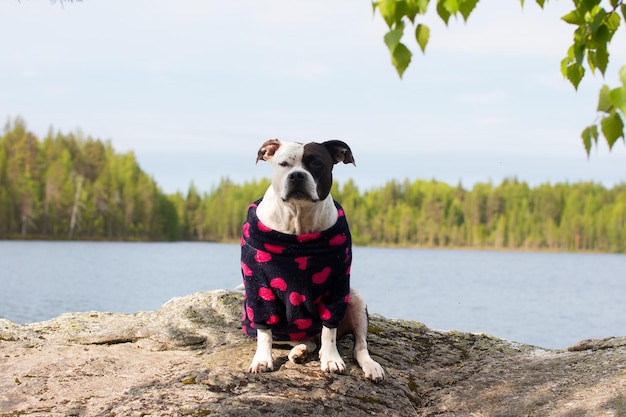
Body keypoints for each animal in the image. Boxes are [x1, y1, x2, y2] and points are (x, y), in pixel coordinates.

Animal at [239, 138, 386, 382]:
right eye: (283, 164)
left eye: (316, 163)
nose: (297, 175)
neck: (298, 220)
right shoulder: (258, 284)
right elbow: (264, 330)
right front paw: (262, 359)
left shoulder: (337, 283)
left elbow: (329, 330)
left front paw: (332, 359)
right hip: (283, 328)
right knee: (304, 340)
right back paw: (298, 352)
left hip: (355, 300)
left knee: (359, 346)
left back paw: (369, 365)